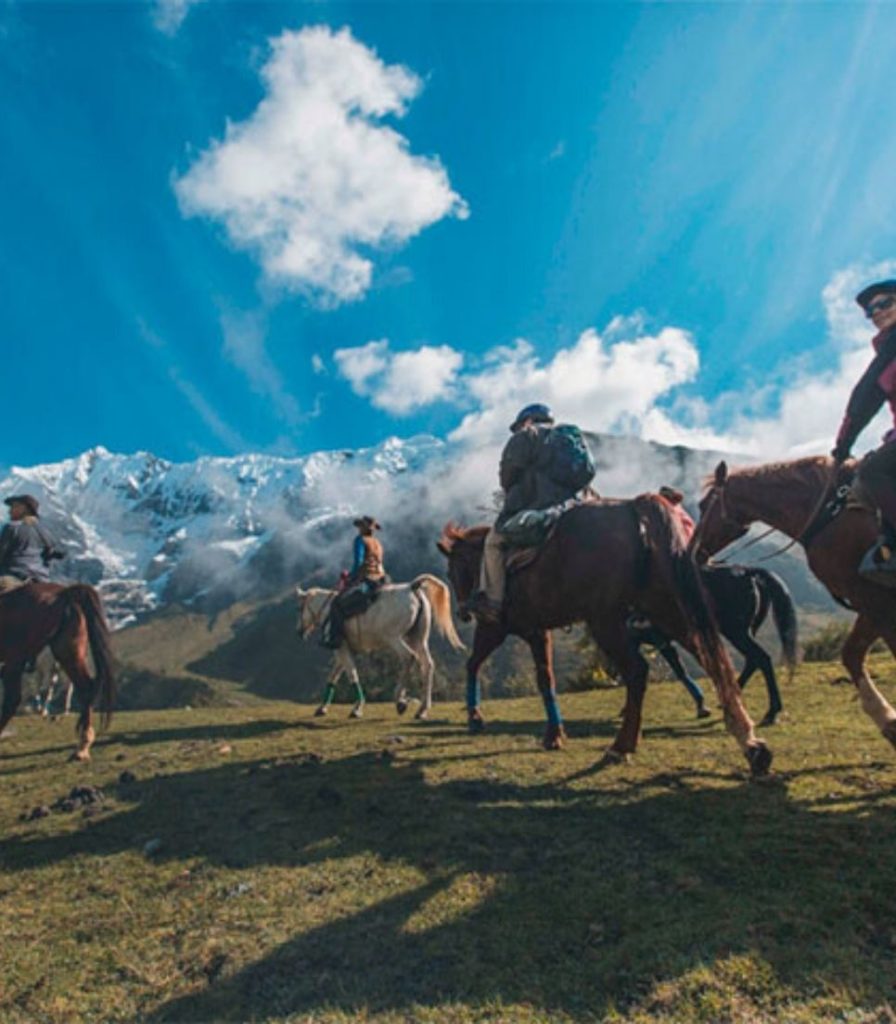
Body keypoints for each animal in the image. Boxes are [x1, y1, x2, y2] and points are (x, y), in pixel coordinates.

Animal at [0, 585, 116, 761]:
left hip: (19, 659)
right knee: (84, 688)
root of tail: (64, 593)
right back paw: (82, 746)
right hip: (68, 651)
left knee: (12, 700)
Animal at [296, 577, 466, 720]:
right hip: (418, 639)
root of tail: (412, 587)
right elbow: (333, 677)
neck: (329, 609)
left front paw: (357, 708)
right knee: (427, 665)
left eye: (300, 608)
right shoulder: (344, 651)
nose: (299, 631)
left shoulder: (341, 648)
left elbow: (352, 675)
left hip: (394, 638)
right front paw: (322, 708)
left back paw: (400, 700)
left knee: (409, 657)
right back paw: (422, 709)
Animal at [438, 495, 774, 774]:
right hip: (669, 610)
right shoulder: (537, 631)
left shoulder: (495, 627)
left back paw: (622, 746)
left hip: (607, 620)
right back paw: (750, 742)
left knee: (638, 671)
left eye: (452, 571)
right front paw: (554, 734)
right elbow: (546, 679)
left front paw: (475, 717)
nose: (463, 612)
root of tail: (635, 507)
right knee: (710, 658)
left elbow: (473, 664)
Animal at [692, 456, 896, 753]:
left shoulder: (876, 601)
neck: (828, 512)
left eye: (703, 505)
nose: (694, 552)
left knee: (758, 658)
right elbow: (851, 655)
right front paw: (888, 722)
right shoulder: (868, 604)